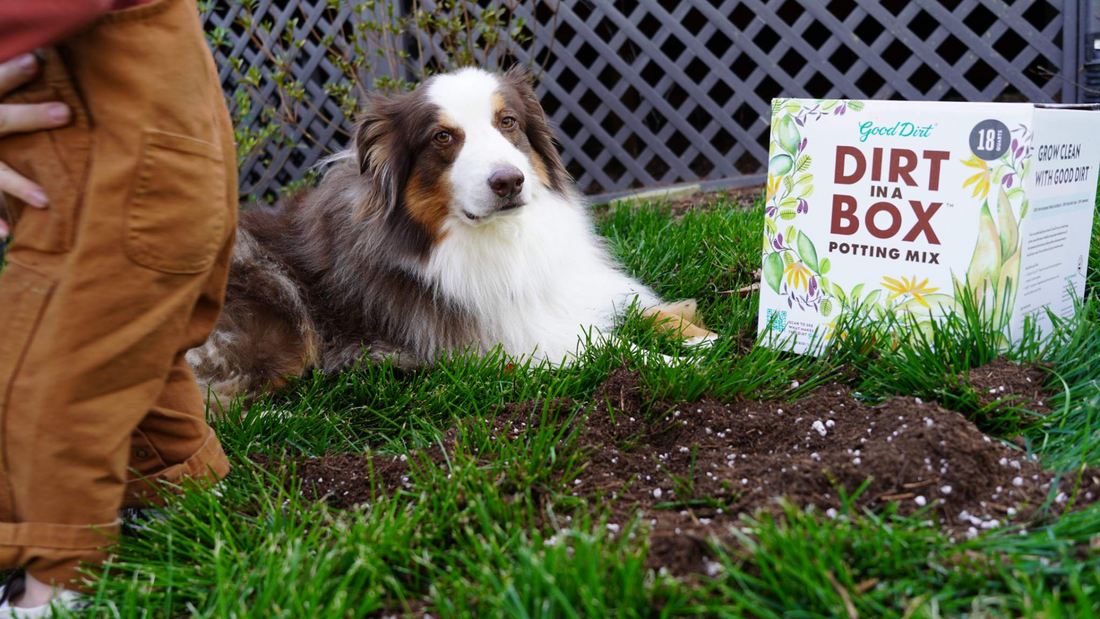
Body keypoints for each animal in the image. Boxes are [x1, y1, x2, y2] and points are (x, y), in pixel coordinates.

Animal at [188, 64, 712, 402]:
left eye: (508, 122)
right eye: (443, 137)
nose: (508, 182)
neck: (496, 236)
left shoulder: (570, 285)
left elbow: (635, 304)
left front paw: (700, 335)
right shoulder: (501, 340)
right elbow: (605, 346)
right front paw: (680, 364)